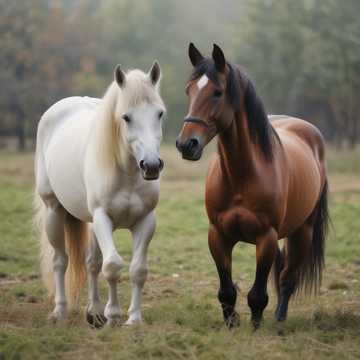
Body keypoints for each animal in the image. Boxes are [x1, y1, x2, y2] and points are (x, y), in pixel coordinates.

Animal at [34, 61, 165, 326]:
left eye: (159, 113)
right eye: (126, 117)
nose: (151, 166)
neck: (127, 174)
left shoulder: (145, 221)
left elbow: (137, 270)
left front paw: (134, 319)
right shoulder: (103, 218)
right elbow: (112, 266)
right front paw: (113, 315)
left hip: (90, 221)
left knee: (92, 264)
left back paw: (94, 312)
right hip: (54, 211)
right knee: (60, 261)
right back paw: (60, 311)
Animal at [175, 43, 330, 328]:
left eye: (218, 92)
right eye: (188, 90)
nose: (186, 144)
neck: (242, 176)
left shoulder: (265, 237)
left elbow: (258, 294)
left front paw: (255, 325)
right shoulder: (218, 235)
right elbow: (226, 290)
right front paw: (231, 322)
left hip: (303, 231)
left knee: (288, 278)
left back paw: (280, 319)